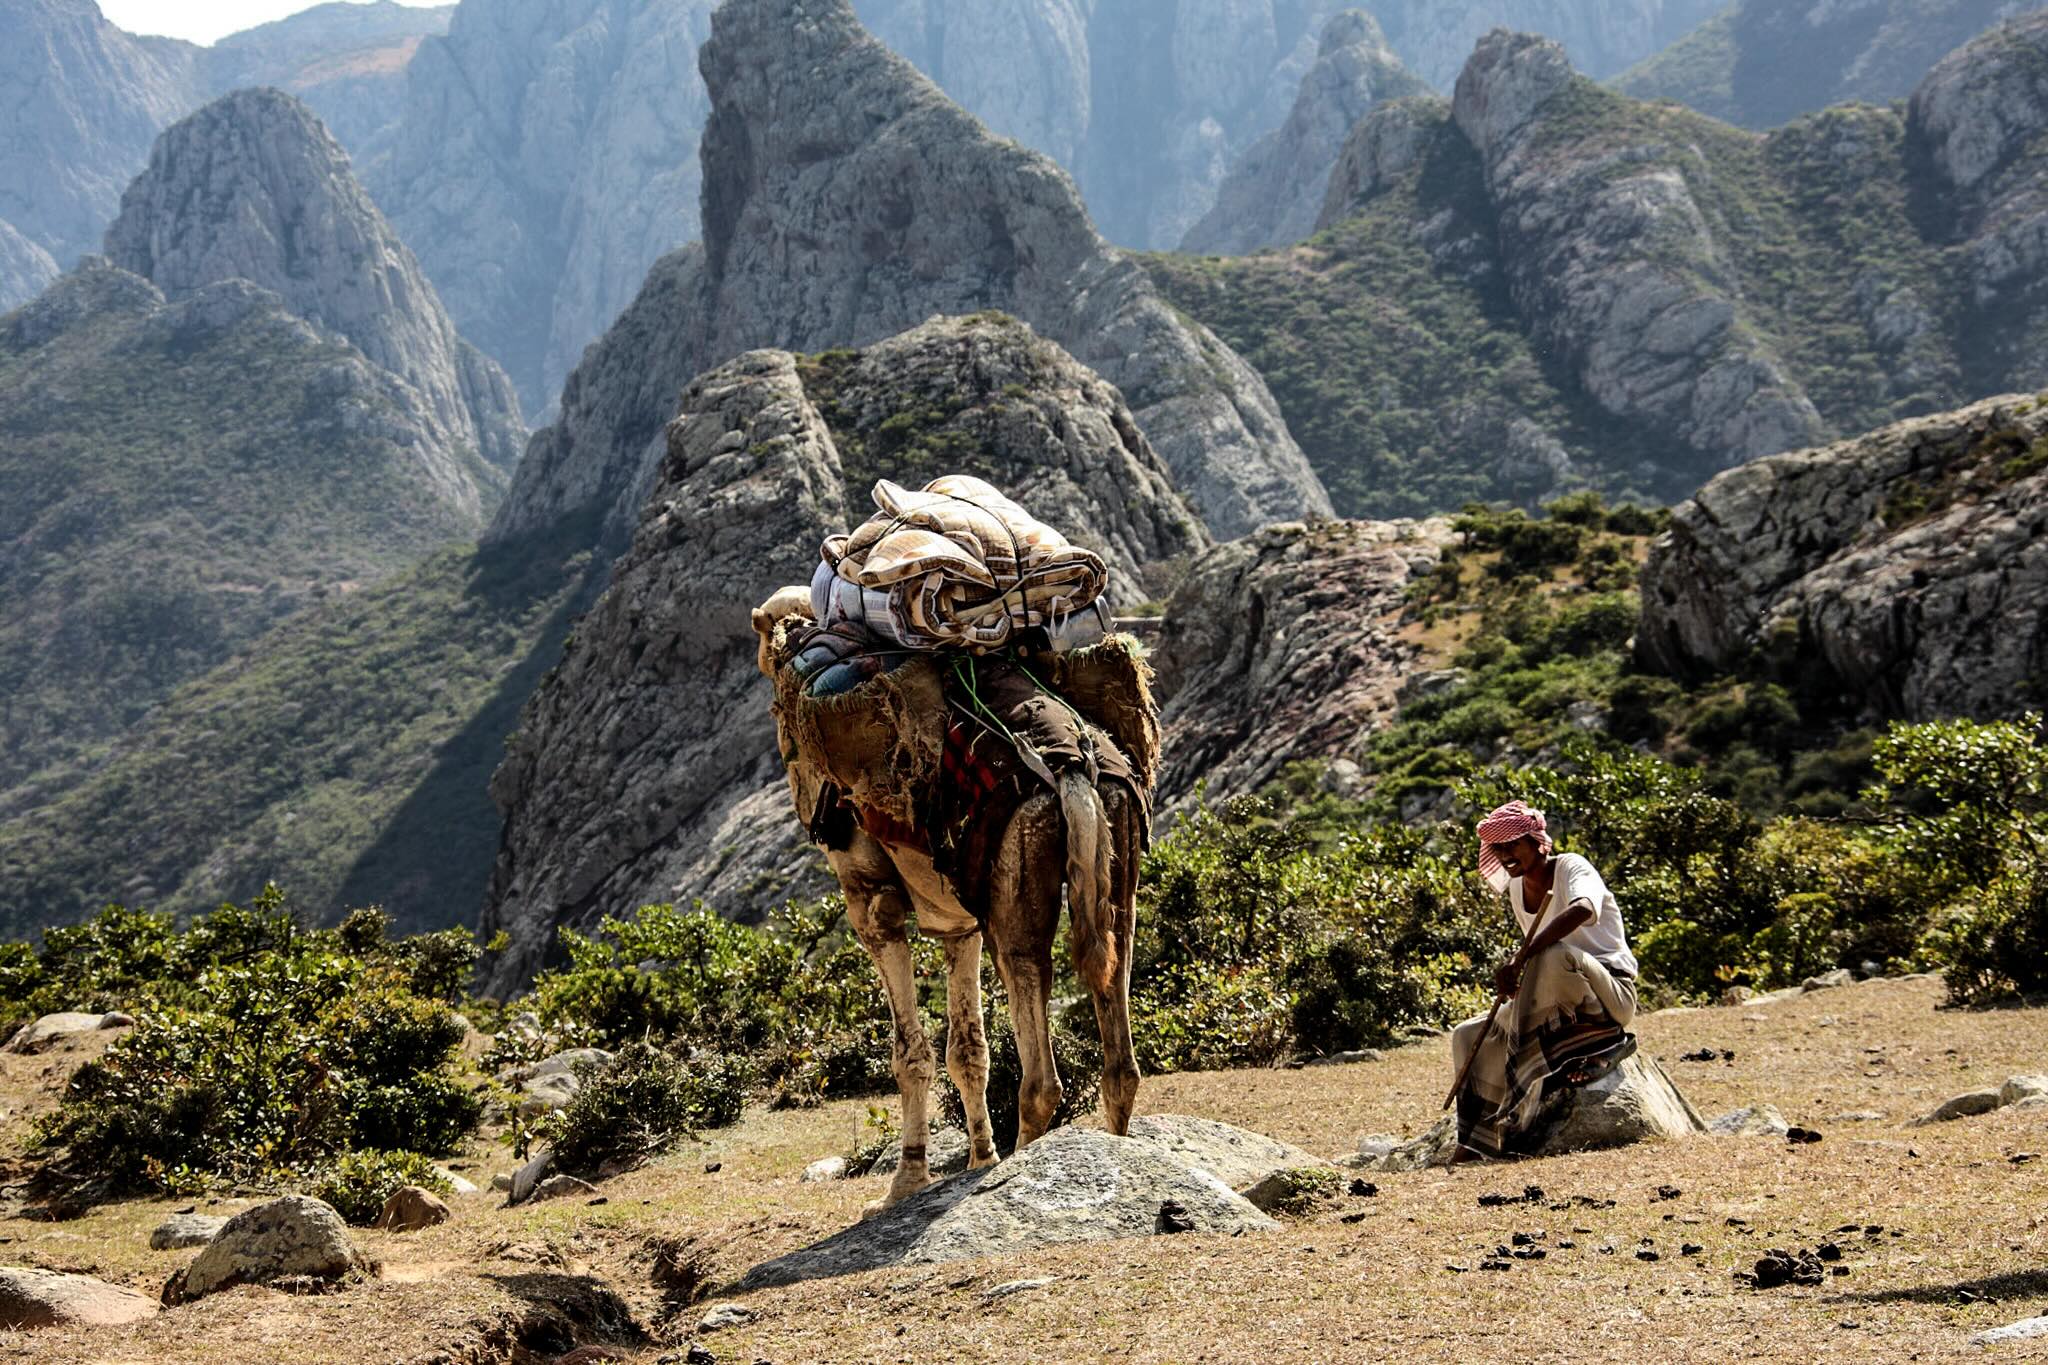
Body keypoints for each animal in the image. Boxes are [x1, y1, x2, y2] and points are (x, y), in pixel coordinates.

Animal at [753, 589, 1155, 1219]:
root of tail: (1073, 771)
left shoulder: (870, 900)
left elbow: (910, 1053)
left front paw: (904, 1185)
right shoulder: (957, 921)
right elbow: (968, 1047)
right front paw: (977, 1159)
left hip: (1016, 882)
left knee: (1040, 1069)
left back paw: (1023, 1174)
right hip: (1119, 856)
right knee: (1118, 1039)